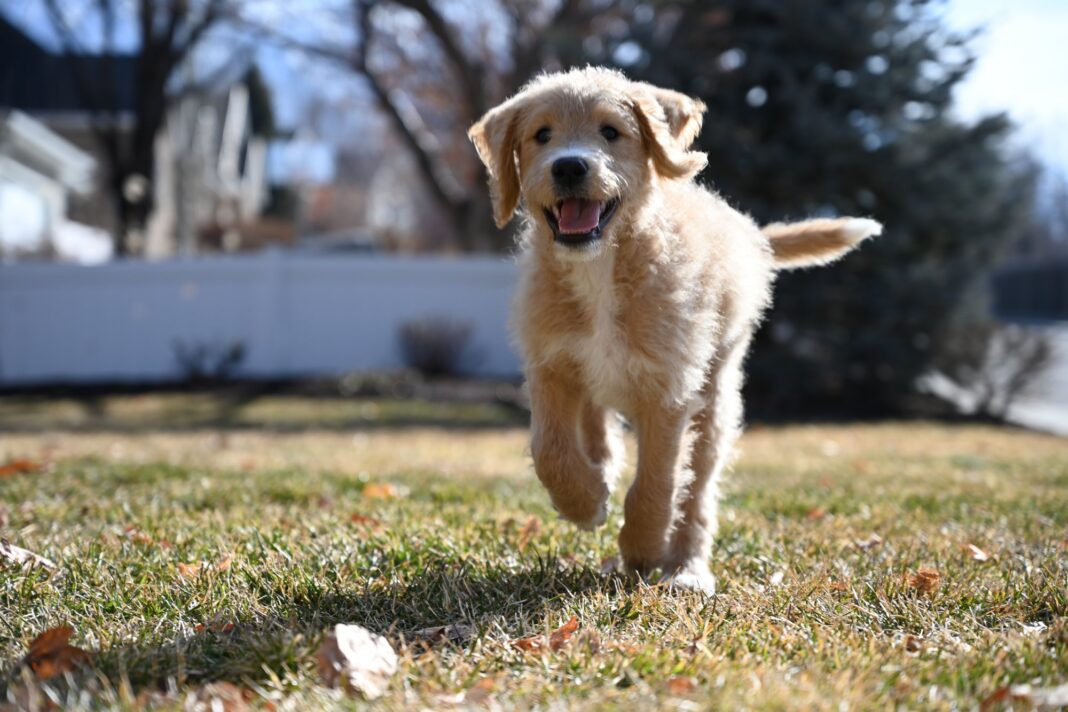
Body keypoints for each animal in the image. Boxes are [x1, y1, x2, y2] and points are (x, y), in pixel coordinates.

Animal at [465, 66, 875, 593]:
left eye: (610, 132)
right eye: (541, 135)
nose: (569, 167)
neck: (602, 268)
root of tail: (750, 236)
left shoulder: (669, 390)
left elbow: (658, 483)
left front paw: (641, 549)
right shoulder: (550, 364)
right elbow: (549, 450)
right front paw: (586, 501)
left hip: (715, 401)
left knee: (697, 491)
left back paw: (687, 569)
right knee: (596, 420)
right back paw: (603, 466)